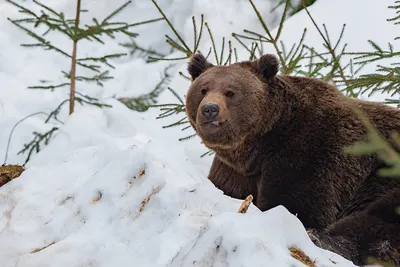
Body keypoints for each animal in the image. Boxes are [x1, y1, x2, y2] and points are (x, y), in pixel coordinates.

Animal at [184, 52, 400, 267]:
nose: (210, 109)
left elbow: (295, 205)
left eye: (230, 92)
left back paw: (322, 239)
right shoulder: (234, 171)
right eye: (203, 89)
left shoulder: (309, 154)